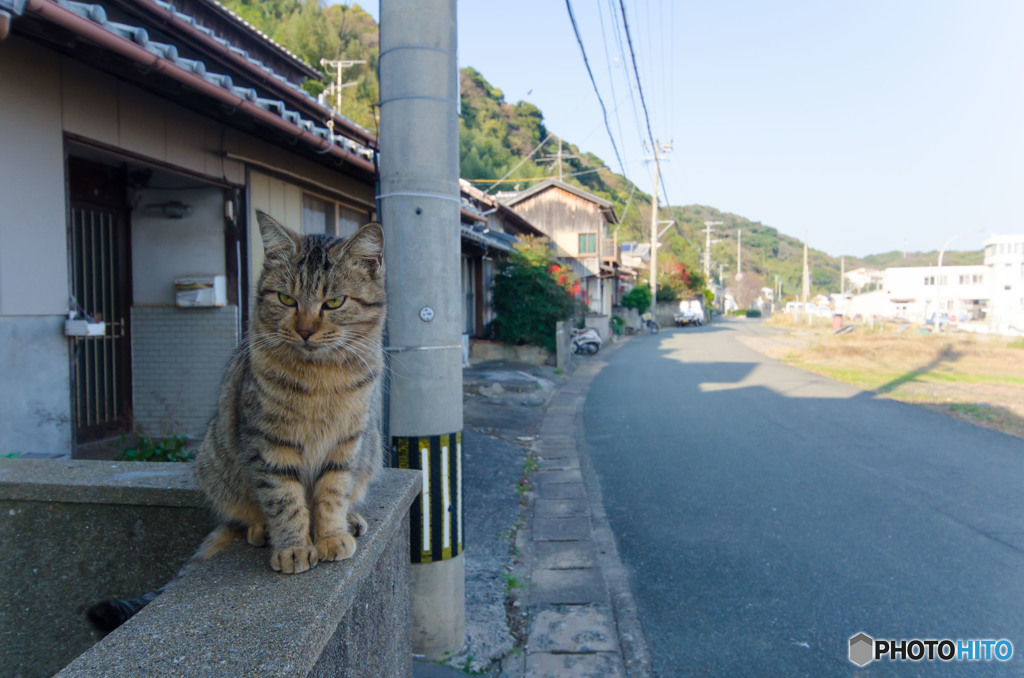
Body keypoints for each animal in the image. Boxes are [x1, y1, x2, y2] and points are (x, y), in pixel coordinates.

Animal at [87, 213, 385, 630]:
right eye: (287, 299)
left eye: (335, 302)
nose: (305, 331)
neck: (320, 376)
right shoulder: (270, 443)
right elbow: (285, 499)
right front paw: (294, 546)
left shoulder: (348, 439)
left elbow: (332, 491)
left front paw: (329, 535)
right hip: (214, 460)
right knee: (245, 515)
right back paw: (262, 530)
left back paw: (351, 518)